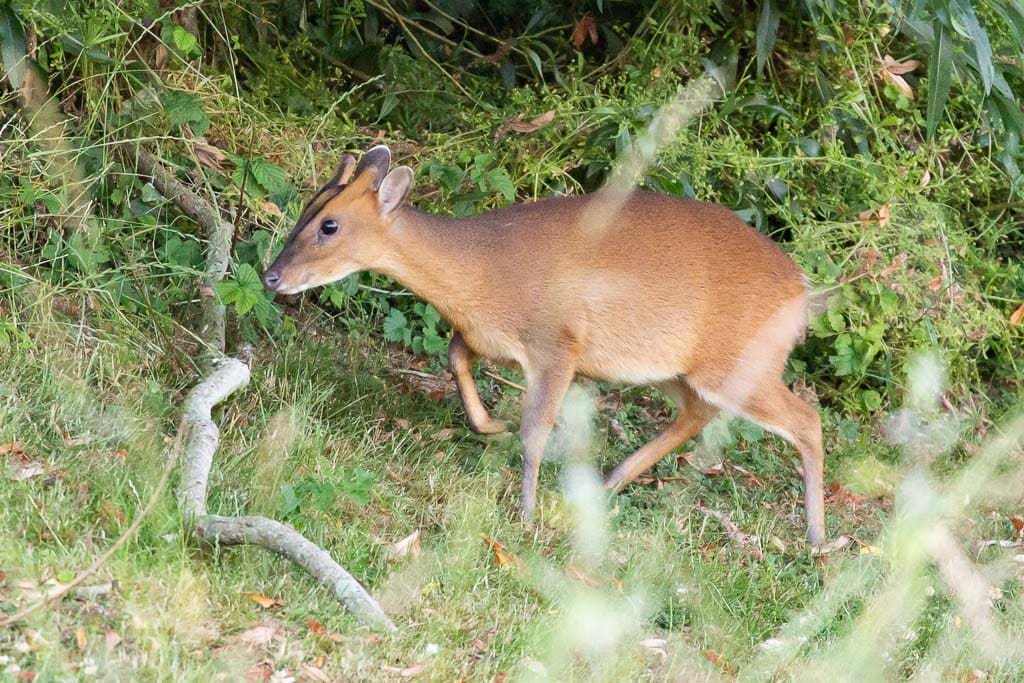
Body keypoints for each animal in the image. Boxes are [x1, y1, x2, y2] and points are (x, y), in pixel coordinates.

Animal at [262, 144, 823, 544]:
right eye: (307, 207)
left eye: (329, 225)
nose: (271, 276)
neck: (482, 271)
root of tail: (802, 291)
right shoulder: (489, 337)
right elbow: (455, 356)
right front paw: (491, 425)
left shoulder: (558, 344)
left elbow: (534, 432)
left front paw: (524, 512)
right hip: (679, 369)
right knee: (697, 413)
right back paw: (606, 484)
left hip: (739, 362)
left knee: (806, 419)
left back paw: (816, 536)